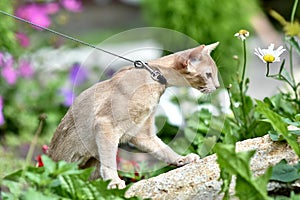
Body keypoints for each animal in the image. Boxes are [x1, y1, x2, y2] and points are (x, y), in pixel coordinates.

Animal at [48, 42, 219, 189]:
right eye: (208, 74)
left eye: (215, 74)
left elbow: (164, 149)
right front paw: (114, 181)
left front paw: (181, 159)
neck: (155, 78)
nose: (217, 86)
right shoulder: (106, 124)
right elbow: (109, 161)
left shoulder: (142, 133)